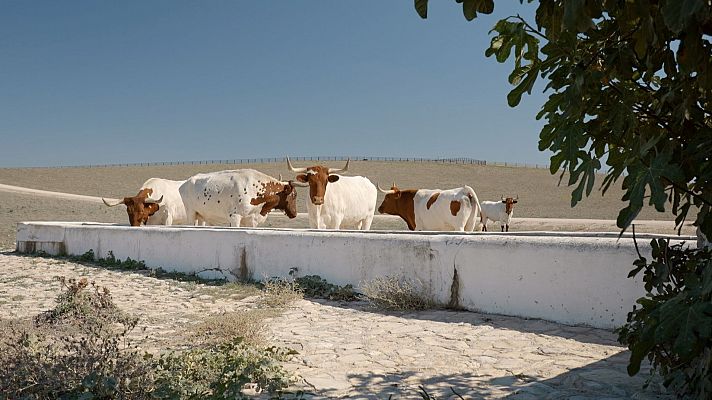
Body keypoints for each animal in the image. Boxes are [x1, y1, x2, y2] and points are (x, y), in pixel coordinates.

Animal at [178, 167, 306, 227]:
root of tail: (185, 183)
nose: (294, 214)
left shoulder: (251, 220)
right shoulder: (234, 217)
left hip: (201, 216)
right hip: (191, 214)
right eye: (294, 195)